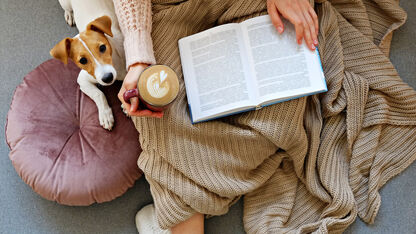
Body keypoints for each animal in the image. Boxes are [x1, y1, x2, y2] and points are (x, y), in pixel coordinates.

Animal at [50, 0, 126, 131]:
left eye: (102, 47)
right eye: (83, 60)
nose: (107, 78)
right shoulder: (83, 80)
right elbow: (99, 93)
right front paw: (105, 114)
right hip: (65, 3)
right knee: (67, 8)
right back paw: (69, 14)